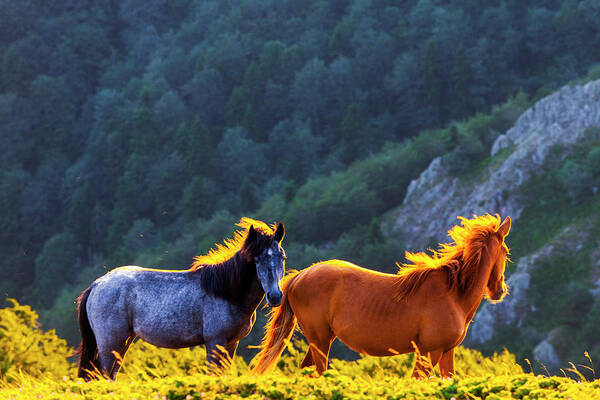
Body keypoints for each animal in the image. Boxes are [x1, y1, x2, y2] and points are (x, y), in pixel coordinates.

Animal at [75, 219, 286, 382]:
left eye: (282, 256)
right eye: (257, 259)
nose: (275, 296)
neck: (227, 292)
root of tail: (97, 285)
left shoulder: (231, 343)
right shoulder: (215, 342)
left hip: (122, 342)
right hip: (109, 344)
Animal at [251, 214, 508, 376]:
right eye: (506, 251)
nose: (500, 291)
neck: (453, 292)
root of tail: (298, 277)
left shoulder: (447, 353)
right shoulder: (429, 352)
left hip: (321, 341)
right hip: (320, 342)